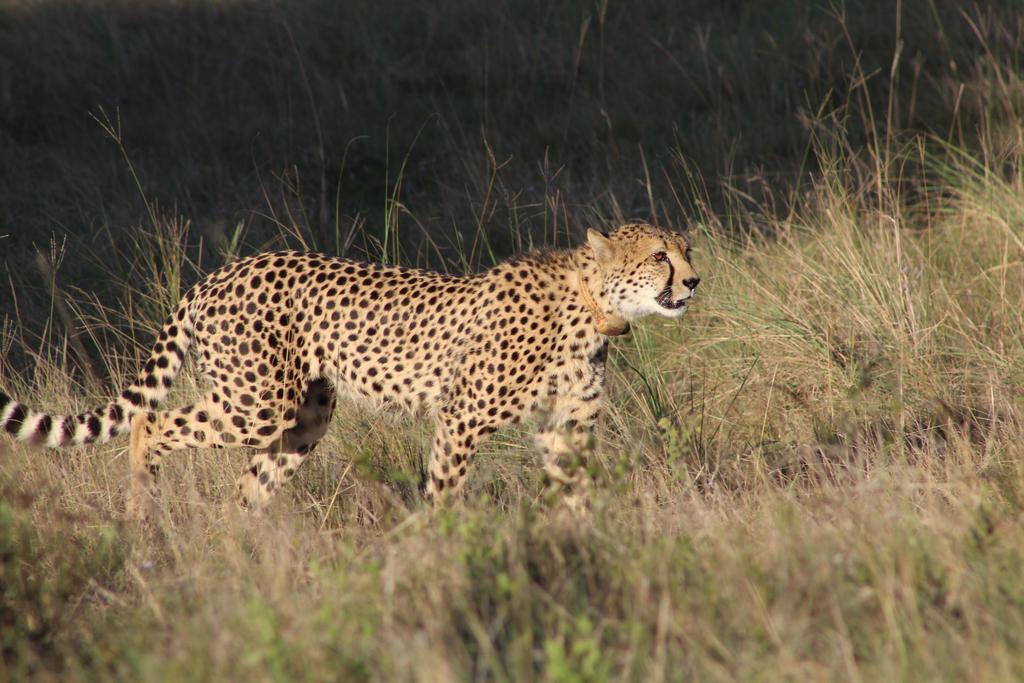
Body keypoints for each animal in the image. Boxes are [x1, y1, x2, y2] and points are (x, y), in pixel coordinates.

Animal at [0, 222, 700, 516]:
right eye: (658, 255)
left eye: (686, 250)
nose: (694, 280)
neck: (590, 306)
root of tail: (215, 274)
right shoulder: (461, 420)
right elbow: (445, 492)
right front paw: (446, 552)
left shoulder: (567, 430)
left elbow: (573, 495)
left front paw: (577, 548)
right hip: (258, 402)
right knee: (153, 424)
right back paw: (143, 512)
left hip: (304, 417)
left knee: (248, 485)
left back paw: (249, 553)